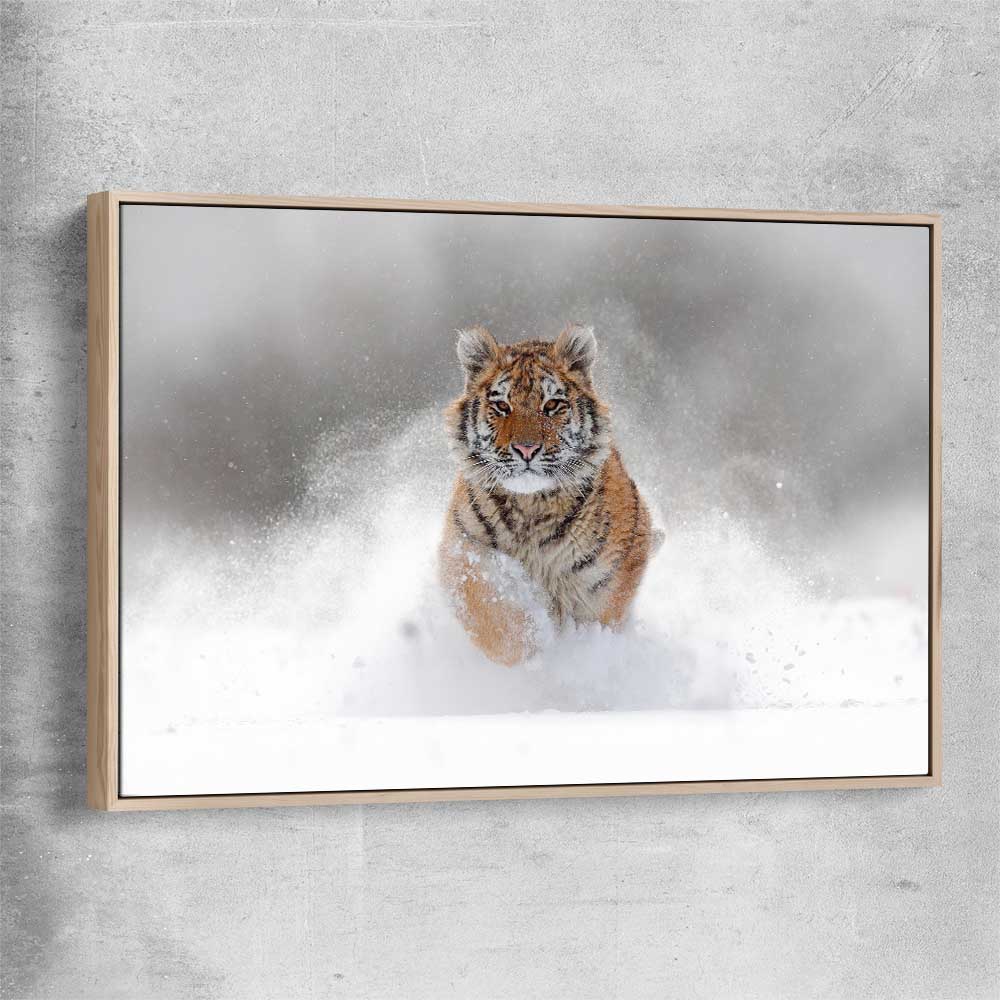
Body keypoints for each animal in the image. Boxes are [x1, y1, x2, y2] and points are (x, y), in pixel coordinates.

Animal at [439, 322, 662, 666]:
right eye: (502, 406)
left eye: (552, 405)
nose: (526, 449)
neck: (531, 507)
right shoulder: (463, 550)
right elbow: (493, 613)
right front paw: (529, 650)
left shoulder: (608, 577)